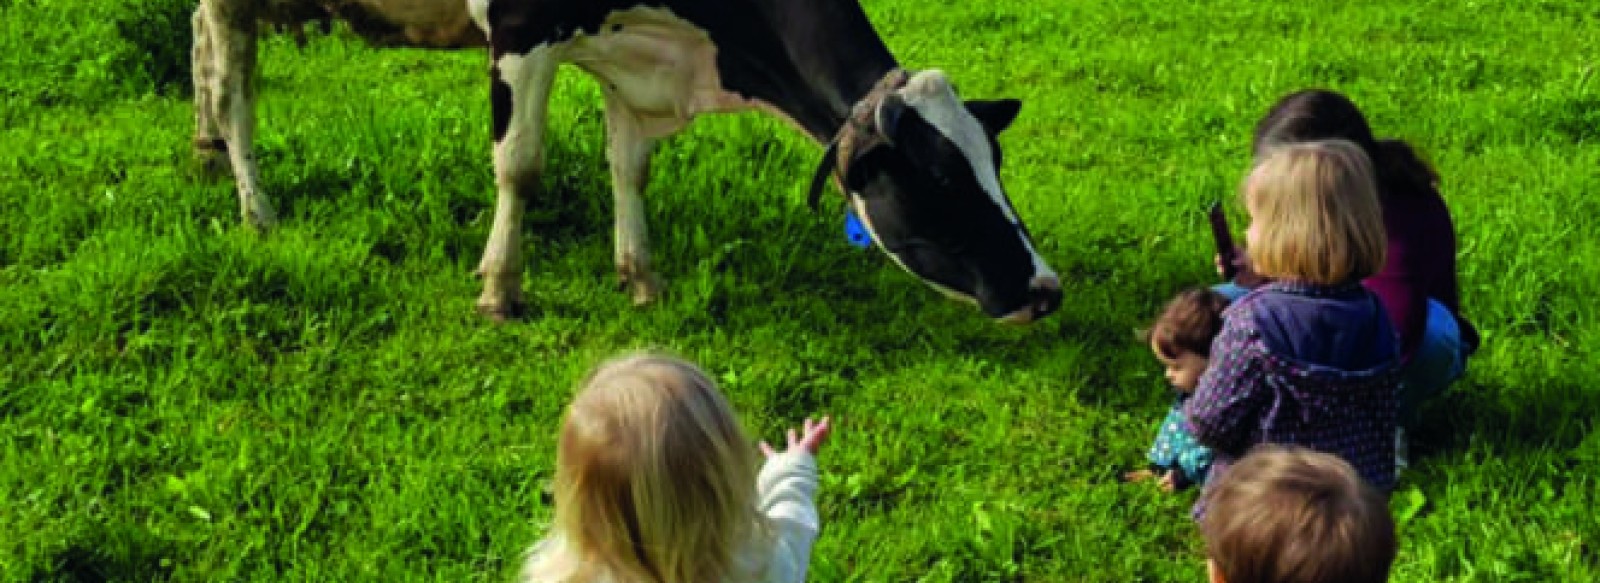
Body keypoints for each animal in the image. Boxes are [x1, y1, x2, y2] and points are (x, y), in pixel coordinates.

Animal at [190, 0, 1062, 323]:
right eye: (941, 177)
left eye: (996, 161)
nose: (1045, 288)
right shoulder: (521, 28)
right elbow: (520, 166)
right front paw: (500, 287)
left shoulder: (635, 56)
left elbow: (628, 169)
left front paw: (640, 275)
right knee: (232, 86)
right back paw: (256, 207)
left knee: (205, 61)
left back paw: (206, 157)